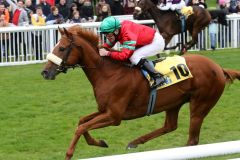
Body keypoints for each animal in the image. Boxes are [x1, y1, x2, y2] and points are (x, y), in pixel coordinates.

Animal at [41, 25, 240, 159]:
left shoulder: (114, 116)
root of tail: (219, 68)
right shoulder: (104, 110)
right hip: (174, 102)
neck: (107, 73)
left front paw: (69, 154)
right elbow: (81, 122)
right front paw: (100, 143)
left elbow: (81, 127)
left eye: (62, 48)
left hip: (200, 105)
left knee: (192, 140)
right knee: (170, 126)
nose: (45, 72)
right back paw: (135, 142)